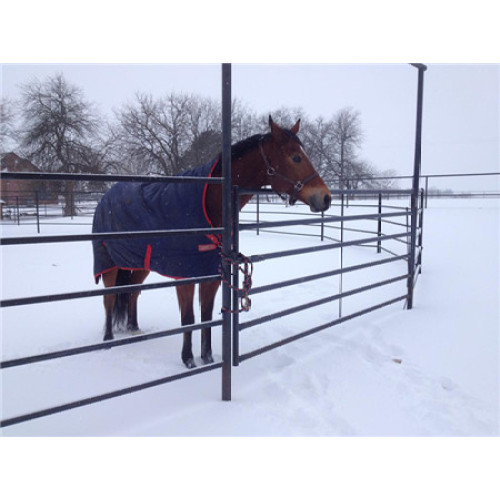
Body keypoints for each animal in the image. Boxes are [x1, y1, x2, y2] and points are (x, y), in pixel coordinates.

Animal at [93, 116, 332, 368]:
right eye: (296, 157)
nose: (326, 197)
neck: (209, 203)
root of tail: (105, 197)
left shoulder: (212, 273)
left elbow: (206, 314)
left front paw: (207, 357)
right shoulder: (185, 276)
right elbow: (189, 318)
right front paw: (188, 359)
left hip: (140, 264)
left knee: (132, 291)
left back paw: (133, 328)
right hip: (108, 264)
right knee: (109, 298)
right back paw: (108, 339)